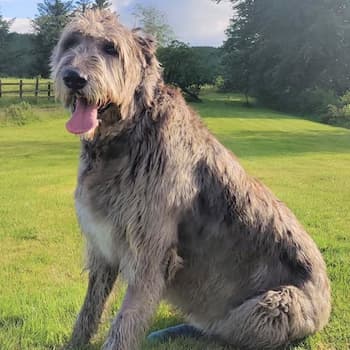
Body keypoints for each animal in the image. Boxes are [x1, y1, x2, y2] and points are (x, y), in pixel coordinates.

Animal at [52, 9, 330, 350]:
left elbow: (125, 323)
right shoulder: (103, 246)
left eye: (110, 48)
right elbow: (90, 309)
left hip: (273, 307)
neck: (129, 133)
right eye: (71, 41)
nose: (74, 78)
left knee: (225, 330)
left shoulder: (151, 252)